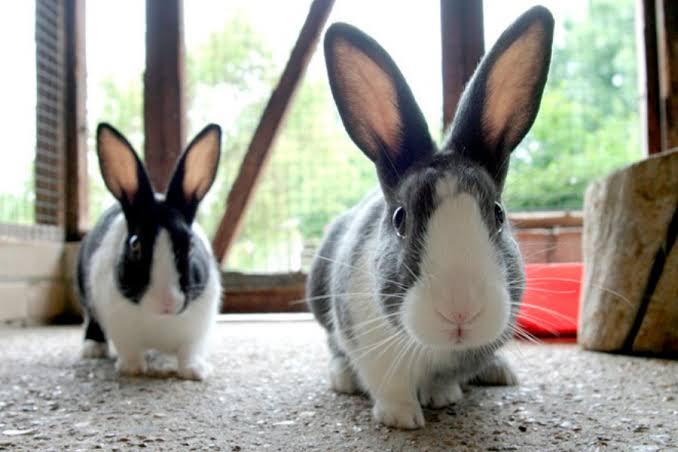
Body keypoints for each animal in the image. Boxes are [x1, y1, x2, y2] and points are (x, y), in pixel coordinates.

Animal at [77, 123, 223, 381]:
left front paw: (195, 371)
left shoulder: (198, 328)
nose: (166, 302)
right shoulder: (119, 325)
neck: (160, 320)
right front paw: (132, 369)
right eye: (135, 244)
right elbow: (129, 348)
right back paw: (93, 349)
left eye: (190, 244)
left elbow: (190, 351)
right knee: (92, 322)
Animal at [307, 6, 554, 429]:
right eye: (400, 218)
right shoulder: (367, 343)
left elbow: (445, 380)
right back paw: (343, 379)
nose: (460, 311)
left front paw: (443, 397)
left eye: (498, 213)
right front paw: (401, 418)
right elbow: (388, 384)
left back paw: (499, 372)